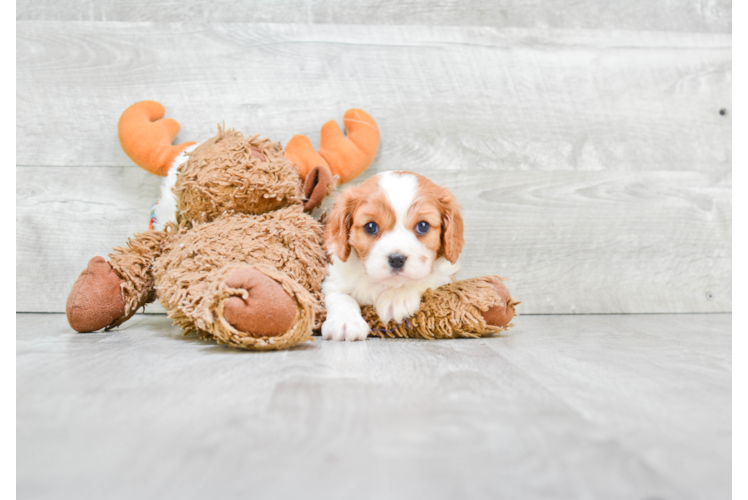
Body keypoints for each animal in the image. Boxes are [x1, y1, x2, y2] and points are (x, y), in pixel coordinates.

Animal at [320, 171, 462, 340]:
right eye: (370, 226)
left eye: (423, 226)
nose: (396, 259)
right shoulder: (335, 280)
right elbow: (342, 296)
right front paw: (345, 321)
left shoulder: (446, 276)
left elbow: (424, 278)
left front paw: (396, 297)